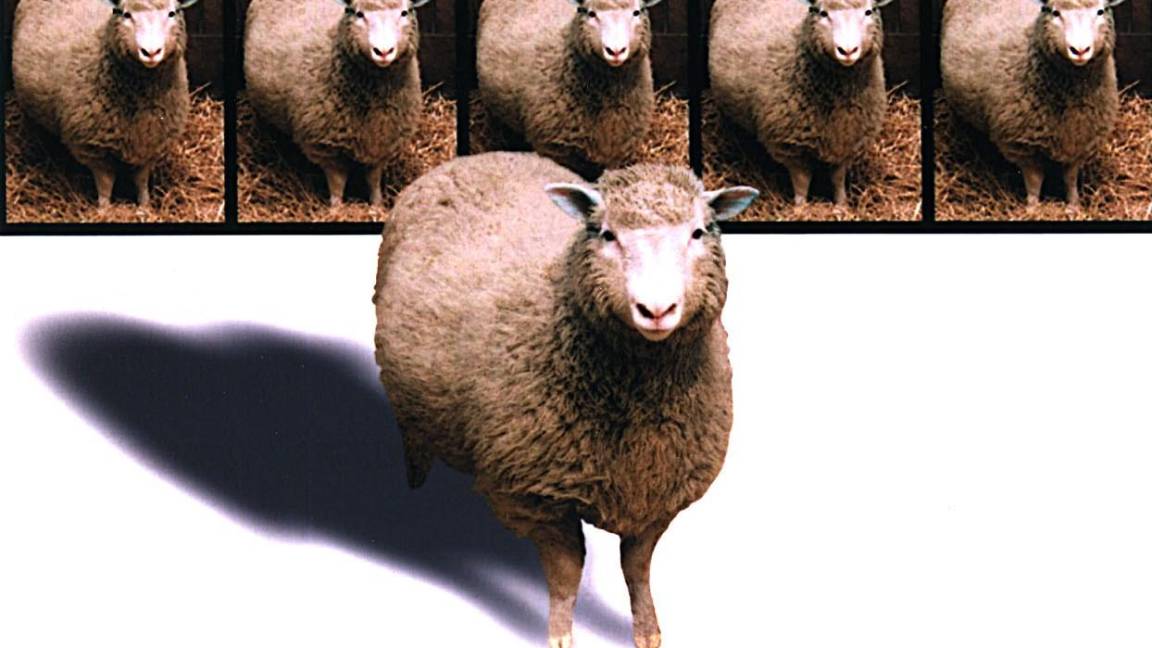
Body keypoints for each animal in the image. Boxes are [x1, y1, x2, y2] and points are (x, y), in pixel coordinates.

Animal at [11, 0, 199, 210]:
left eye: (172, 13)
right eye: (126, 14)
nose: (151, 52)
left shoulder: (150, 141)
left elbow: (141, 180)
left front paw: (144, 207)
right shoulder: (93, 147)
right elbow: (105, 183)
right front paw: (104, 209)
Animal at [244, 0, 430, 208]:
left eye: (405, 12)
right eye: (358, 13)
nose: (383, 51)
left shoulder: (382, 142)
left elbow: (373, 179)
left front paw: (377, 205)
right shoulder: (327, 146)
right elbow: (337, 184)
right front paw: (337, 208)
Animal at [373, 151, 758, 648]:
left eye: (698, 232)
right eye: (606, 233)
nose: (656, 310)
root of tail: (472, 158)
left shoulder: (659, 488)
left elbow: (637, 566)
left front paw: (647, 630)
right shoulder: (536, 494)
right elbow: (567, 571)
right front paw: (559, 634)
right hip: (404, 392)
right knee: (412, 436)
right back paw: (415, 486)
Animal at [709, 0, 891, 207]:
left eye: (869, 11)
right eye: (822, 13)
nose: (847, 51)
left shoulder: (847, 140)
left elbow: (838, 178)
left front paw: (841, 205)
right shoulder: (791, 145)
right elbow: (802, 182)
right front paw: (801, 207)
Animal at [941, 0, 1124, 209]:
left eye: (1100, 11)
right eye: (1055, 12)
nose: (1079, 50)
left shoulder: (1080, 139)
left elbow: (1070, 177)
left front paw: (1073, 205)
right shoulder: (1023, 143)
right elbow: (1035, 180)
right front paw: (1033, 207)